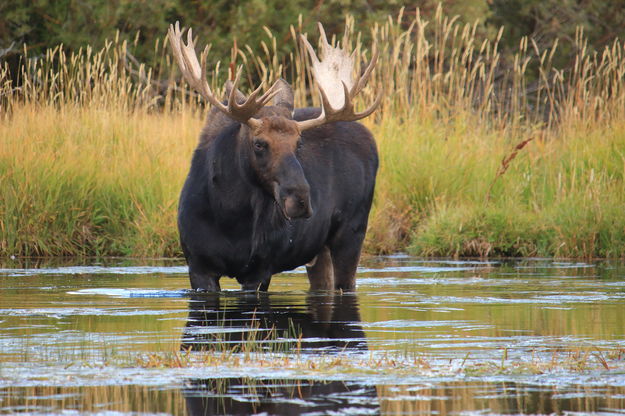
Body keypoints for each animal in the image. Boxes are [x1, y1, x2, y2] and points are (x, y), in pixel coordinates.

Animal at [167, 21, 380, 290]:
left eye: (298, 143)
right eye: (259, 143)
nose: (300, 198)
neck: (229, 217)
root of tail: (369, 137)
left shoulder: (261, 269)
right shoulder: (198, 266)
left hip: (352, 231)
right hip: (318, 249)